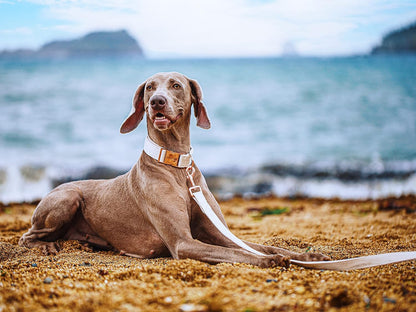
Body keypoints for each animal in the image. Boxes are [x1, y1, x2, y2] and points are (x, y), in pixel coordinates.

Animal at [20, 72, 328, 266]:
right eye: (149, 87)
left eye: (176, 85)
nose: (157, 100)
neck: (178, 167)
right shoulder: (182, 242)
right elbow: (242, 254)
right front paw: (270, 260)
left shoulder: (216, 231)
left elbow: (258, 245)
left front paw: (309, 257)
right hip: (66, 198)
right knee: (27, 236)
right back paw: (46, 245)